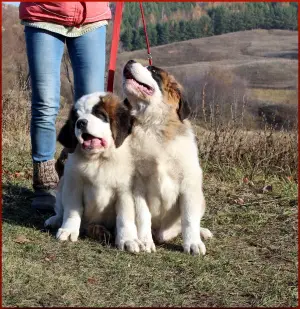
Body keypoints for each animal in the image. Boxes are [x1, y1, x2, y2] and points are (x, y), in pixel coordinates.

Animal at [44, 91, 141, 253]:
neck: (99, 159)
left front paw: (127, 239)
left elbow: (125, 217)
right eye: (76, 118)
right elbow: (72, 210)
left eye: (99, 114)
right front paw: (68, 230)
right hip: (62, 185)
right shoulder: (73, 185)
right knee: (60, 209)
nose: (81, 123)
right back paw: (55, 220)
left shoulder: (125, 191)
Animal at [123, 60, 212, 255]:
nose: (130, 61)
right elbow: (143, 216)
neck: (154, 126)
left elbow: (189, 218)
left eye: (153, 70)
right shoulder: (137, 184)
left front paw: (193, 242)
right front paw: (145, 241)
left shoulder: (190, 182)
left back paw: (202, 232)